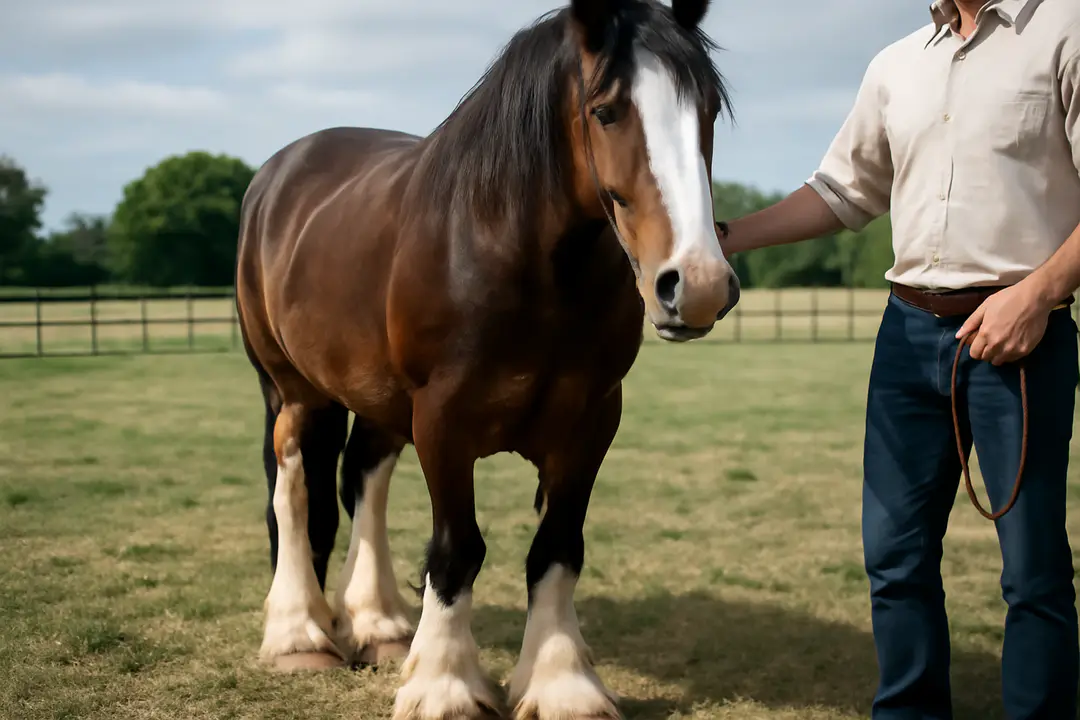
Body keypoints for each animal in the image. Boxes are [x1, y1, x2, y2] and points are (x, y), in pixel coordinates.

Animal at [234, 0, 737, 717]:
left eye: (708, 108)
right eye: (607, 110)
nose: (694, 285)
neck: (516, 255)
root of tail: (278, 173)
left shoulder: (591, 422)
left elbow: (556, 549)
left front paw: (561, 683)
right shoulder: (443, 421)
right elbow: (455, 551)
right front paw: (444, 686)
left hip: (377, 399)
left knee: (363, 478)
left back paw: (378, 623)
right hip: (293, 390)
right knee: (295, 486)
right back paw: (299, 633)